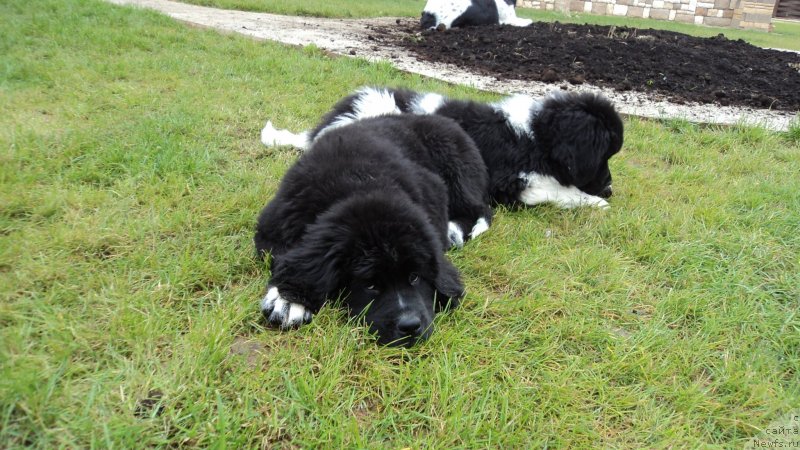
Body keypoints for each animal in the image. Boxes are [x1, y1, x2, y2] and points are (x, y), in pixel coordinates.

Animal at [256, 114, 490, 346]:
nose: (410, 326)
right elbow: (283, 258)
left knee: (480, 209)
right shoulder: (276, 224)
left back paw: (454, 231)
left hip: (456, 167)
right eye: (369, 284)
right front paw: (287, 301)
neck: (362, 184)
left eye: (415, 277)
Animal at [262, 88, 624, 211]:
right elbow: (554, 190)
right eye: (603, 157)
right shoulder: (510, 182)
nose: (610, 188)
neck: (535, 136)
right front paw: (594, 202)